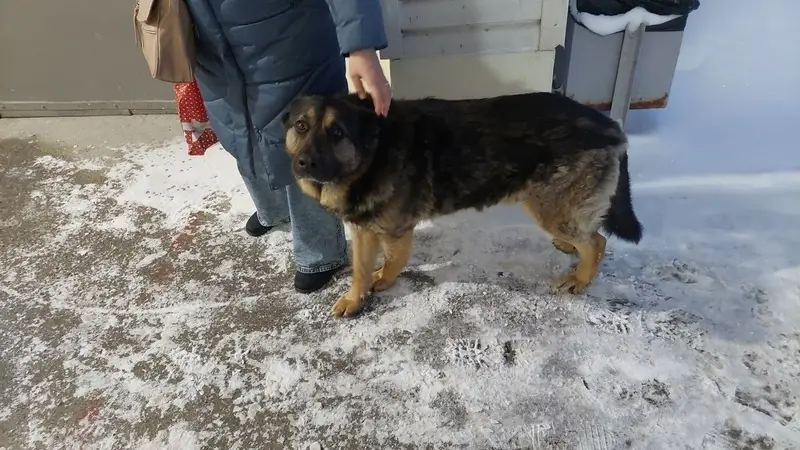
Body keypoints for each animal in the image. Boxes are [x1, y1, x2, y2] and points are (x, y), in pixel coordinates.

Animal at [281, 91, 643, 318]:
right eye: (301, 126)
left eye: (338, 132)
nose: (304, 164)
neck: (374, 151)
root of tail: (610, 125)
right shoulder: (363, 229)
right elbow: (359, 270)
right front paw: (355, 299)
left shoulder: (397, 231)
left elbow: (393, 262)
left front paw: (382, 281)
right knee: (587, 234)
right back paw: (571, 250)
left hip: (549, 208)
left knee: (597, 242)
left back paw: (581, 278)